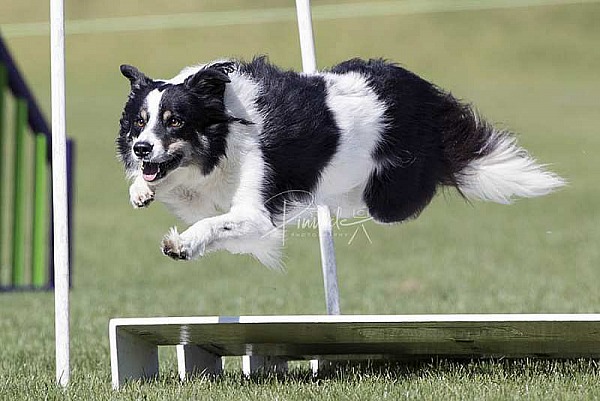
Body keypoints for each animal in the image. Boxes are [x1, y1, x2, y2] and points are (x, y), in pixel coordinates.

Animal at [116, 56, 564, 268]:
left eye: (175, 121)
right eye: (140, 122)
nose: (141, 149)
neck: (223, 129)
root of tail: (426, 95)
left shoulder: (256, 211)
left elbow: (214, 224)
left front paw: (181, 244)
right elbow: (176, 190)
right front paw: (141, 188)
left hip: (389, 199)